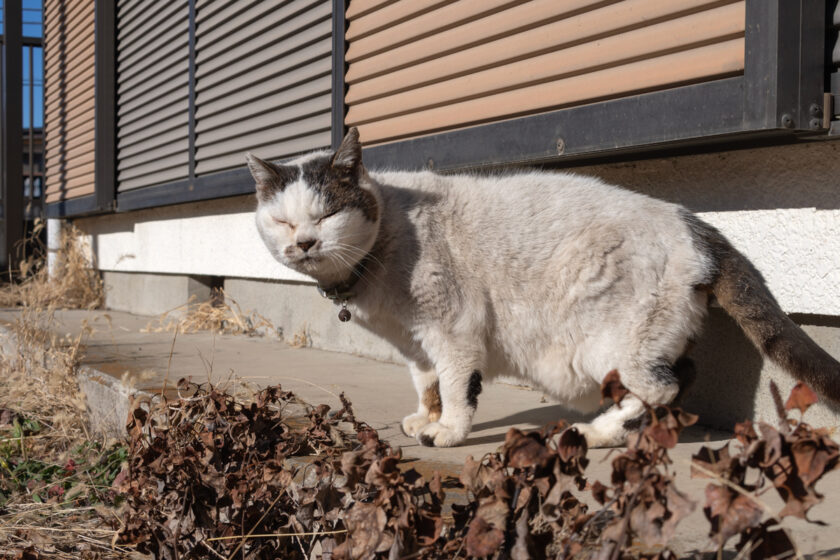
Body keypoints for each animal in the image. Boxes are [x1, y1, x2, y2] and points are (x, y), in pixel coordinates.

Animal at [244, 129, 840, 448]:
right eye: (280, 221)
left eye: (327, 214)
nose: (303, 242)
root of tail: (694, 223)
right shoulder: (415, 343)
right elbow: (426, 382)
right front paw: (426, 417)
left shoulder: (452, 327)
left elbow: (456, 385)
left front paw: (448, 430)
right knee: (681, 376)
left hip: (612, 345)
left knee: (662, 385)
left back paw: (598, 432)